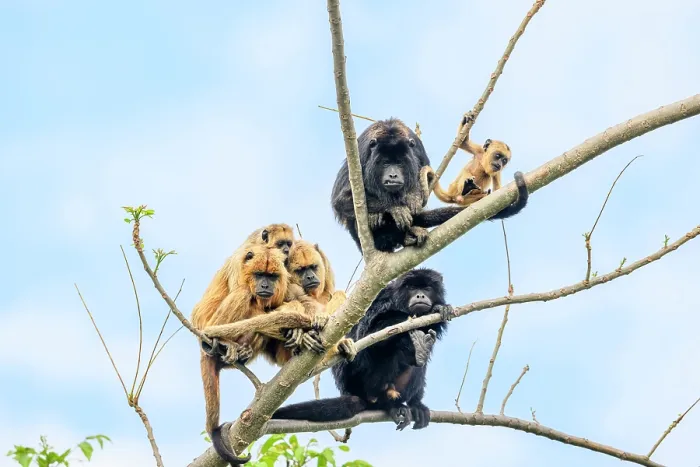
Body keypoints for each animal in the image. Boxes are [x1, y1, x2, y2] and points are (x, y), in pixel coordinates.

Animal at [271, 268, 454, 431]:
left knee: (419, 366)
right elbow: (366, 333)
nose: (420, 295)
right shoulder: (382, 298)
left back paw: (415, 400)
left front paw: (439, 308)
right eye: (412, 288)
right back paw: (392, 405)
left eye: (427, 288)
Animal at [330, 118, 528, 253]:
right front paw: (395, 208)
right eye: (385, 163)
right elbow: (340, 200)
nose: (393, 175)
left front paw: (412, 197)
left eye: (400, 162)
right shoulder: (360, 154)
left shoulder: (417, 148)